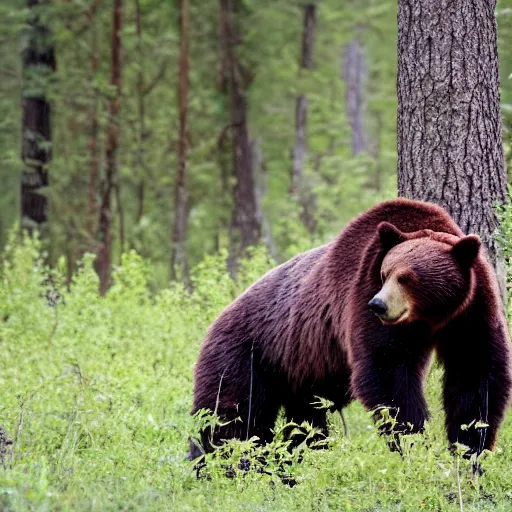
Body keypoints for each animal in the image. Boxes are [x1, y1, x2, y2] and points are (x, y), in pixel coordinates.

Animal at [191, 198, 512, 458]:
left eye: (407, 277)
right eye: (385, 273)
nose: (378, 305)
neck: (431, 317)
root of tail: (215, 319)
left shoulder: (470, 311)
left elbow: (474, 374)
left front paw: (471, 448)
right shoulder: (361, 296)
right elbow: (387, 372)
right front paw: (414, 443)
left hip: (296, 374)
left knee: (304, 424)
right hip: (248, 355)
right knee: (231, 418)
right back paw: (220, 465)